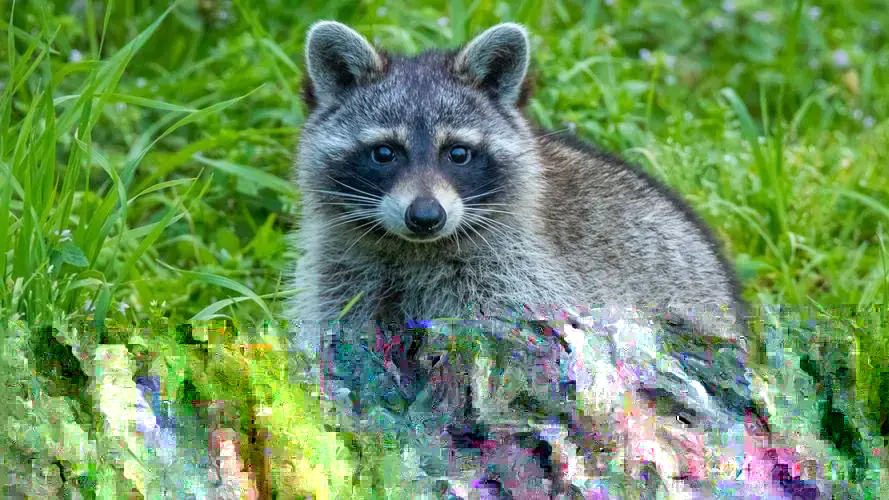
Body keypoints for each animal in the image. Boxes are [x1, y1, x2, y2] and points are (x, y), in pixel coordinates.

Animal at [289, 21, 751, 498]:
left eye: (458, 153)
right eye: (385, 152)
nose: (425, 217)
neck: (413, 248)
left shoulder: (514, 280)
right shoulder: (344, 273)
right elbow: (346, 355)